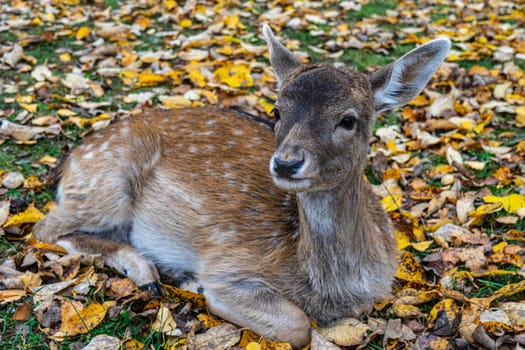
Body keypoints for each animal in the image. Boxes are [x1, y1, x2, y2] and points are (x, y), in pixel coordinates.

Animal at [33, 25, 450, 348]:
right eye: (276, 110)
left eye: (348, 120)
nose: (286, 162)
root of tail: (69, 161)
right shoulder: (228, 263)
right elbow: (297, 325)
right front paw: (198, 284)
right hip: (106, 184)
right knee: (45, 228)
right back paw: (151, 273)